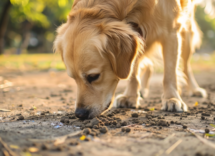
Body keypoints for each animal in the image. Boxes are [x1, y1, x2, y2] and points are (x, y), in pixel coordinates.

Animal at [53, 0, 207, 119]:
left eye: (94, 76)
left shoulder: (170, 32)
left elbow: (170, 74)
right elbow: (133, 71)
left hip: (187, 33)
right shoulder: (136, 38)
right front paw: (130, 97)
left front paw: (172, 98)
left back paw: (195, 89)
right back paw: (142, 90)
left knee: (186, 66)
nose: (80, 114)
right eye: (73, 78)